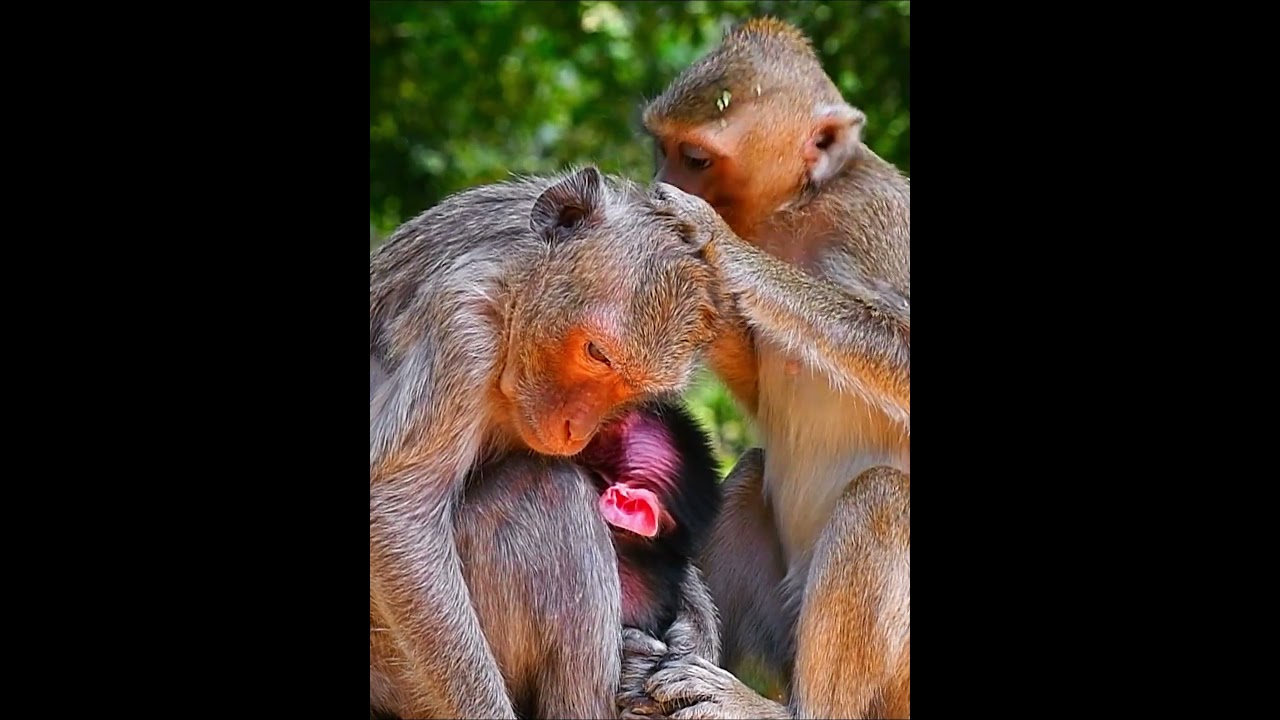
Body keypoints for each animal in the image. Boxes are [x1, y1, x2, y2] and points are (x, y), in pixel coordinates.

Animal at [369, 166, 726, 719]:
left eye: (632, 388)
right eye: (596, 354)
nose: (577, 429)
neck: (513, 294)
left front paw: (695, 636)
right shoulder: (463, 325)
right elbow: (398, 513)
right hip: (395, 670)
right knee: (551, 493)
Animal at [620, 17, 912, 720]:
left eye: (695, 158)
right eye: (661, 146)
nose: (657, 177)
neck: (798, 211)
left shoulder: (880, 224)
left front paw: (717, 243)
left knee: (885, 496)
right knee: (751, 471)